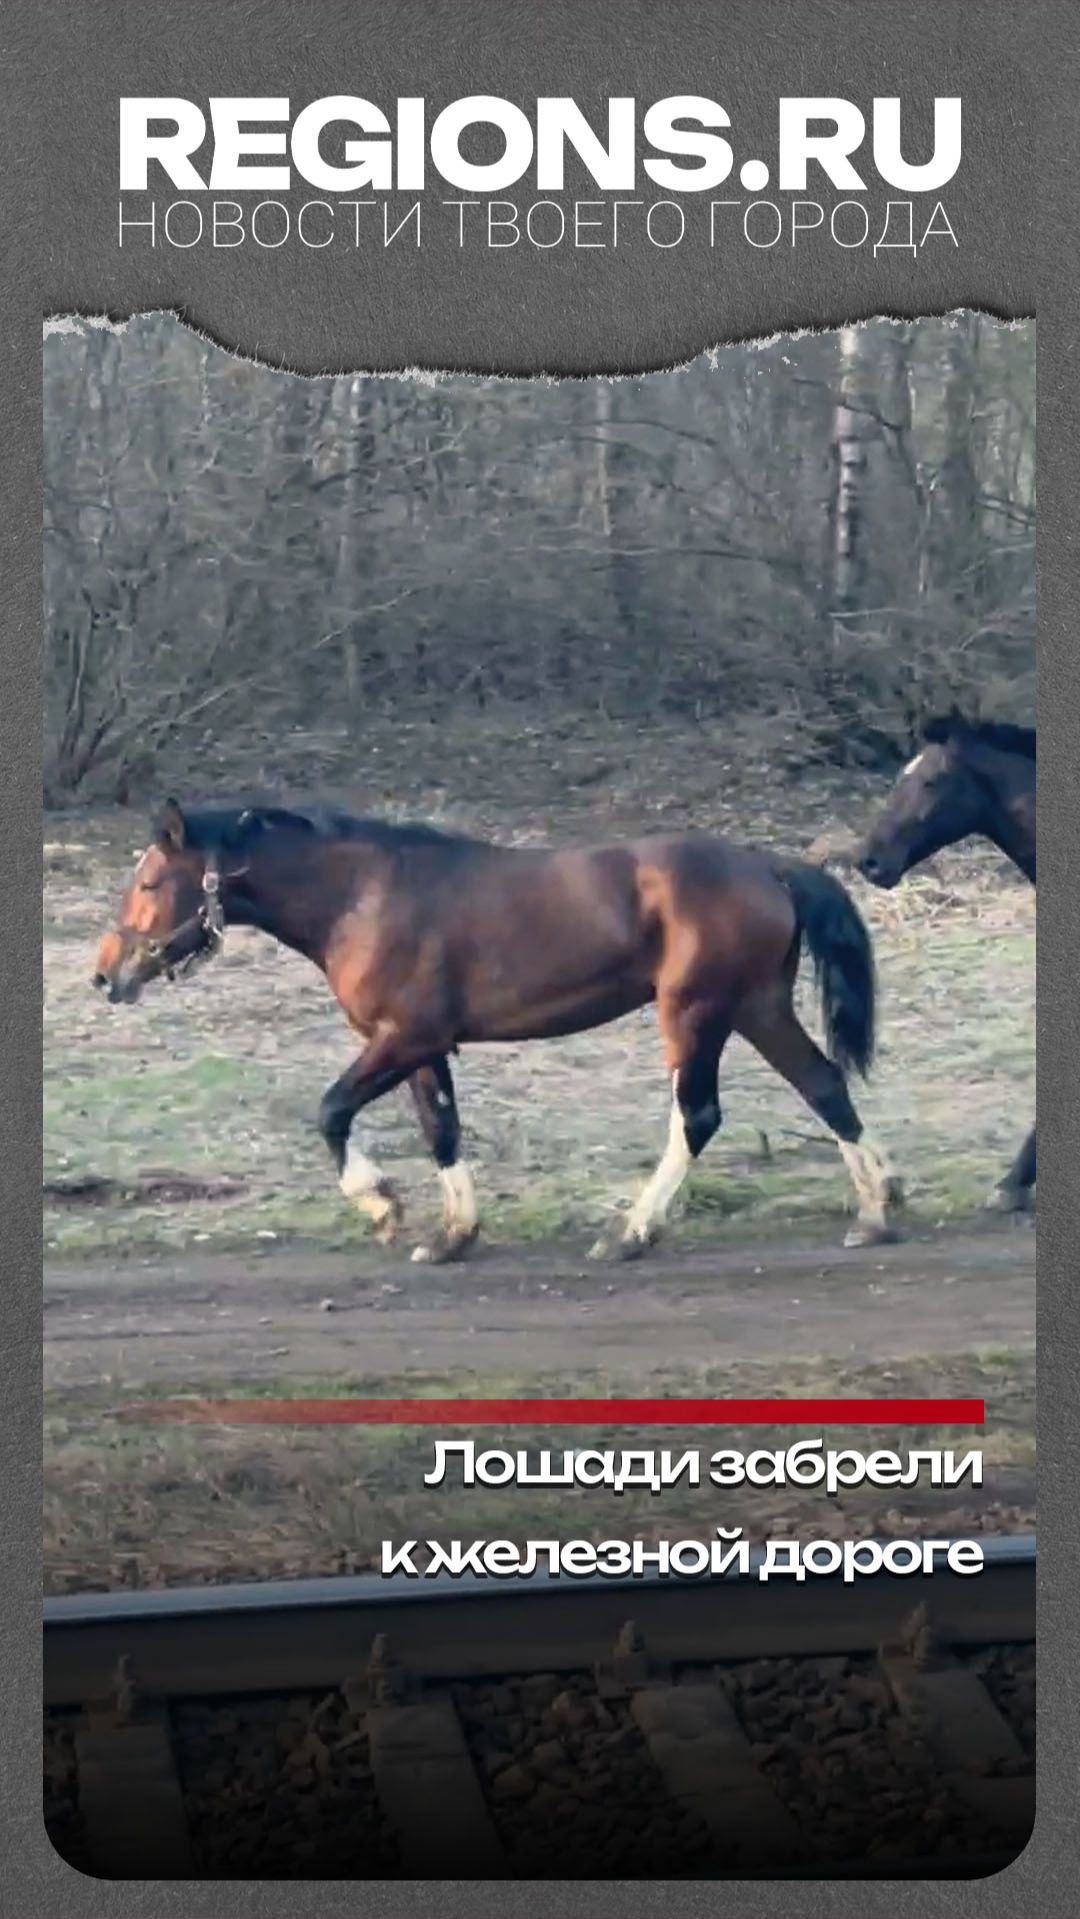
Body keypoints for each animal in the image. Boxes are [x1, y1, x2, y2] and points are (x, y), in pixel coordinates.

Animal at [91, 798, 901, 1262]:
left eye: (150, 881)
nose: (105, 975)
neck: (360, 898)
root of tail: (771, 867)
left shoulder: (401, 1037)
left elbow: (331, 1110)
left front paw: (382, 1205)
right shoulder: (422, 1045)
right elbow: (441, 1129)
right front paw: (453, 1235)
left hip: (696, 1011)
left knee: (698, 1116)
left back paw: (629, 1232)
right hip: (757, 1006)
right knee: (825, 1086)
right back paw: (878, 1211)